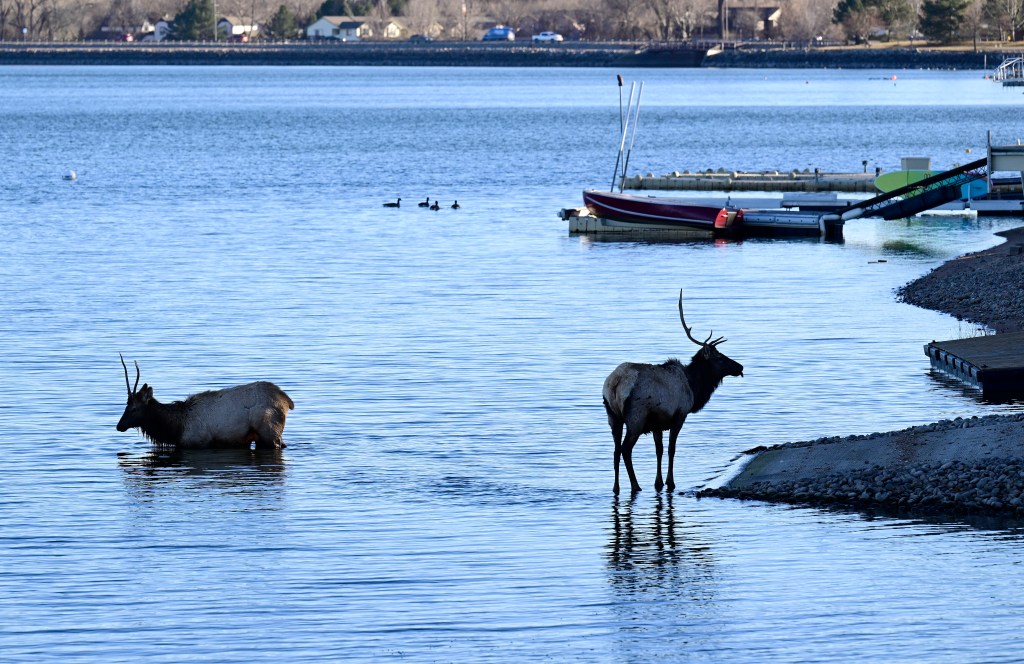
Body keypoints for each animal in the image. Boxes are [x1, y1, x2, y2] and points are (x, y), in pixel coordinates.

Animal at [115, 355, 294, 451]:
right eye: (126, 404)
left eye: (134, 408)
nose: (119, 426)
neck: (176, 428)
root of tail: (287, 401)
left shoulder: (199, 443)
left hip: (269, 433)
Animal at [603, 291, 744, 494]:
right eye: (719, 357)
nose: (740, 367)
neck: (694, 386)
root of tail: (615, 383)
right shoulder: (679, 414)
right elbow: (671, 449)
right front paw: (670, 482)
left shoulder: (657, 422)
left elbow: (659, 450)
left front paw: (658, 482)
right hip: (636, 416)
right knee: (625, 449)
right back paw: (636, 485)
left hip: (612, 416)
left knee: (615, 450)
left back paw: (616, 487)